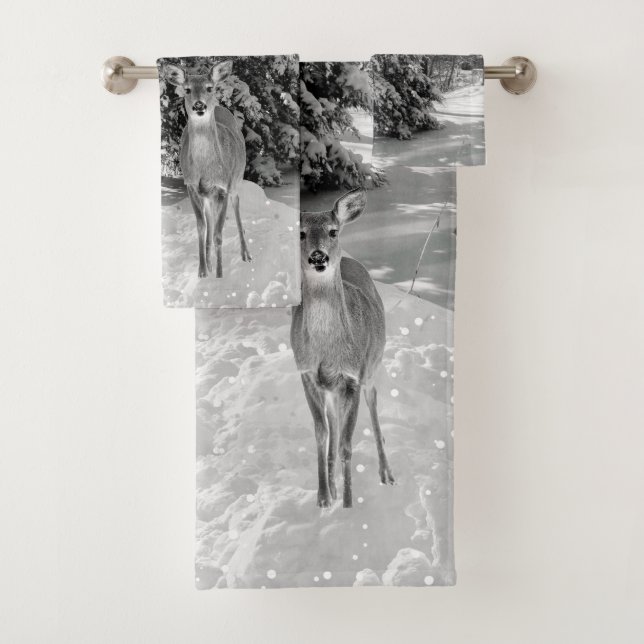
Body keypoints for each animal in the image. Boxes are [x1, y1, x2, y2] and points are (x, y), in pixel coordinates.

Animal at [164, 60, 252, 279]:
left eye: (210, 88)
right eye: (187, 90)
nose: (199, 105)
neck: (206, 169)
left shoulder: (223, 187)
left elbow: (219, 233)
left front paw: (220, 275)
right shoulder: (191, 186)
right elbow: (202, 228)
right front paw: (203, 272)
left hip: (235, 180)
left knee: (237, 208)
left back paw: (246, 254)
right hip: (208, 195)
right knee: (210, 221)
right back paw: (210, 263)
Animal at [291, 188, 395, 509]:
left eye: (333, 231)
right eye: (300, 233)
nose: (318, 256)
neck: (327, 349)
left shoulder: (352, 376)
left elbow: (348, 444)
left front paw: (348, 504)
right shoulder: (307, 373)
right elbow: (322, 434)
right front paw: (324, 497)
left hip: (371, 367)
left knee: (374, 406)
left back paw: (387, 473)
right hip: (332, 389)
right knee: (334, 424)